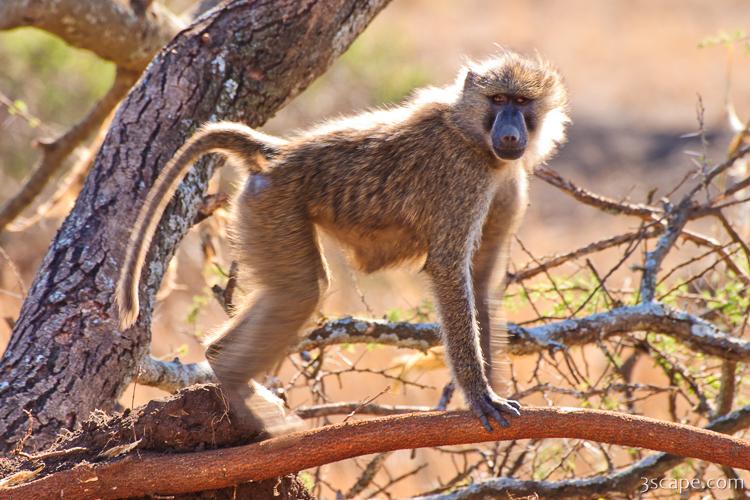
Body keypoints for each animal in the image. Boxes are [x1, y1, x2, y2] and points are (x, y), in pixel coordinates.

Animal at [117, 50, 569, 434]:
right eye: (498, 99)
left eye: (521, 102)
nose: (509, 133)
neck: (472, 134)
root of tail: (279, 153)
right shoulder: (464, 178)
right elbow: (449, 270)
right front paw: (479, 396)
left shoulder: (505, 183)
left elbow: (482, 276)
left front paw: (495, 391)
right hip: (273, 205)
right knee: (302, 291)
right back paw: (237, 386)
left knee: (293, 293)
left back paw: (220, 362)